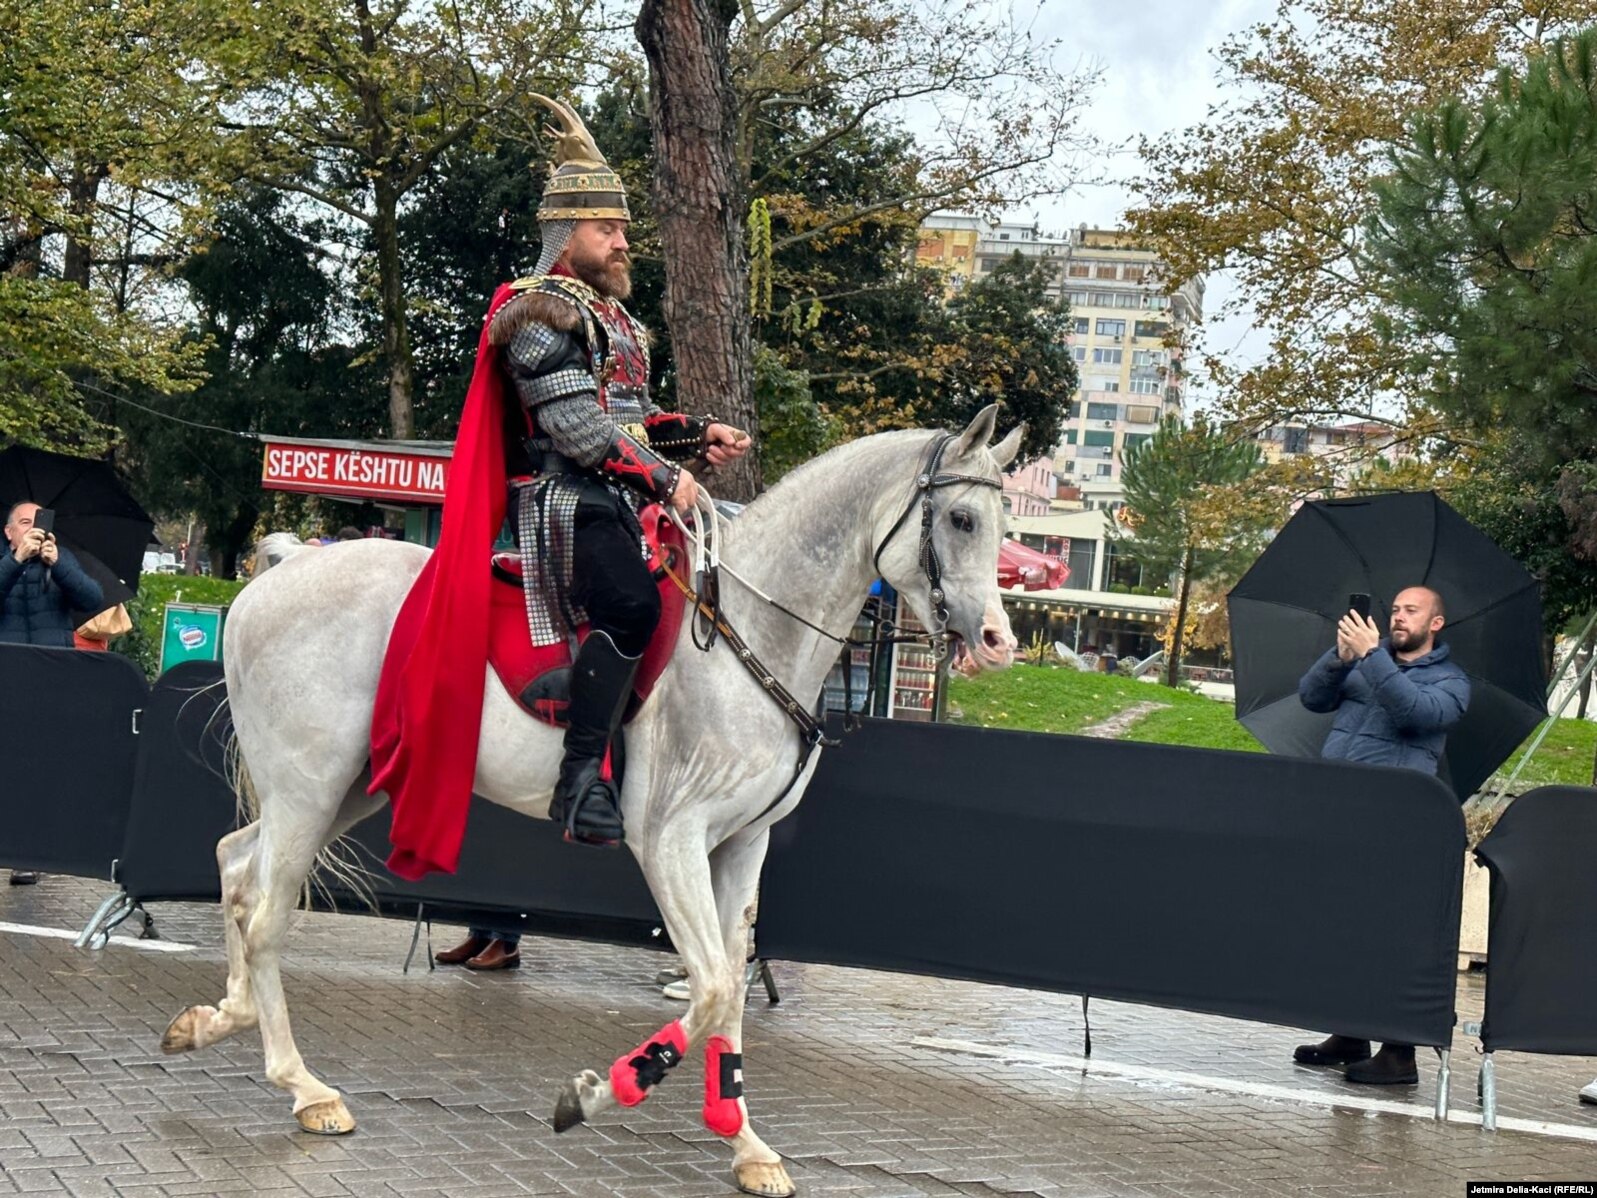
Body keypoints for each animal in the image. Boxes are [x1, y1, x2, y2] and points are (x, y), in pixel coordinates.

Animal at [162, 408, 1022, 1194]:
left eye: (1002, 524)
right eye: (960, 517)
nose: (996, 642)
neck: (746, 632)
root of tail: (277, 571)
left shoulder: (740, 847)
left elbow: (730, 987)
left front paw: (744, 1143)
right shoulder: (671, 840)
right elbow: (712, 986)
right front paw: (606, 1090)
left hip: (343, 789)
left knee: (236, 868)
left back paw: (219, 1020)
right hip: (309, 784)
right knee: (266, 915)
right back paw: (303, 1085)